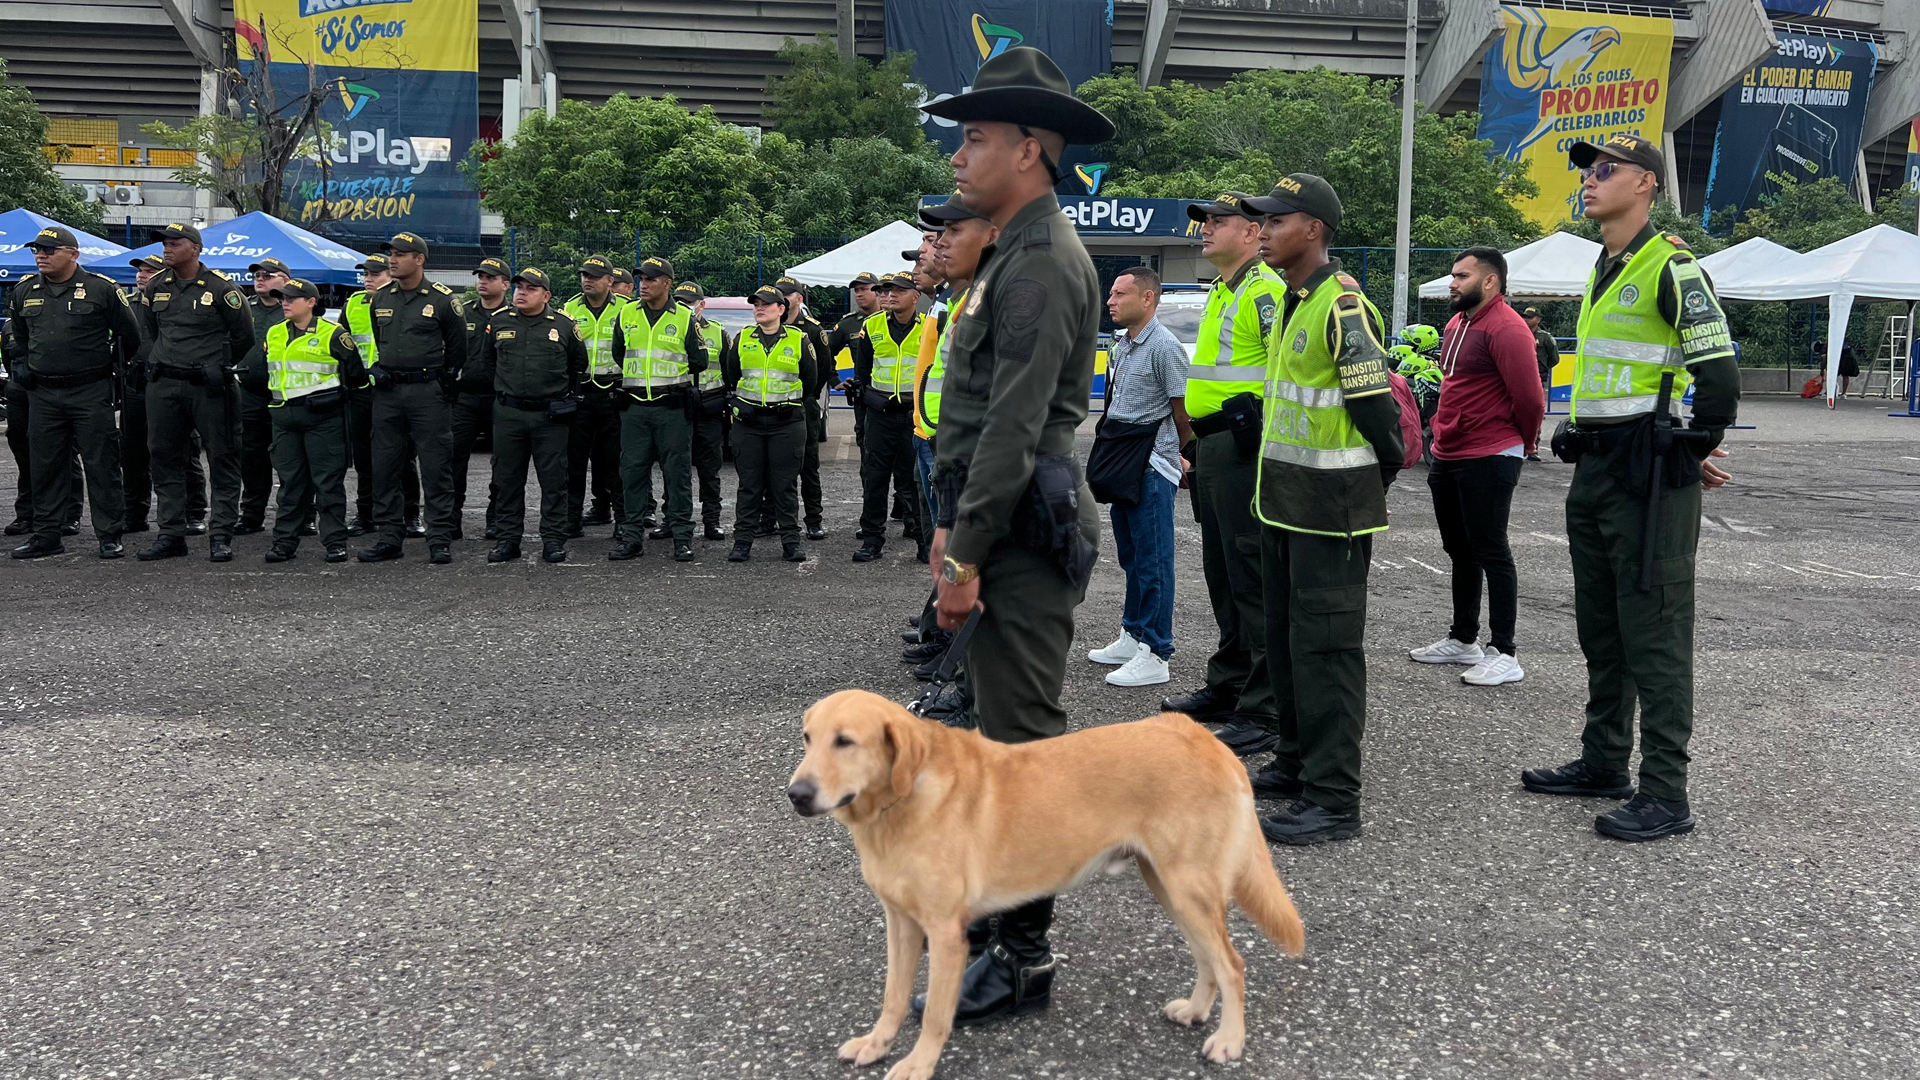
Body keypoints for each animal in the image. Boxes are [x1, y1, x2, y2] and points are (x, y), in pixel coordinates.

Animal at [779, 687, 1305, 1076]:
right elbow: (892, 998)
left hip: (1188, 888)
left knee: (1232, 965)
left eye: (845, 742)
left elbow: (933, 1017)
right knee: (1207, 959)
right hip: (1171, 889)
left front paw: (918, 1064)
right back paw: (1196, 1011)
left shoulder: (946, 935)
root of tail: (1206, 739)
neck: (899, 802)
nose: (796, 794)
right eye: (807, 738)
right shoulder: (902, 923)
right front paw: (877, 1043)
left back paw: (1230, 1040)